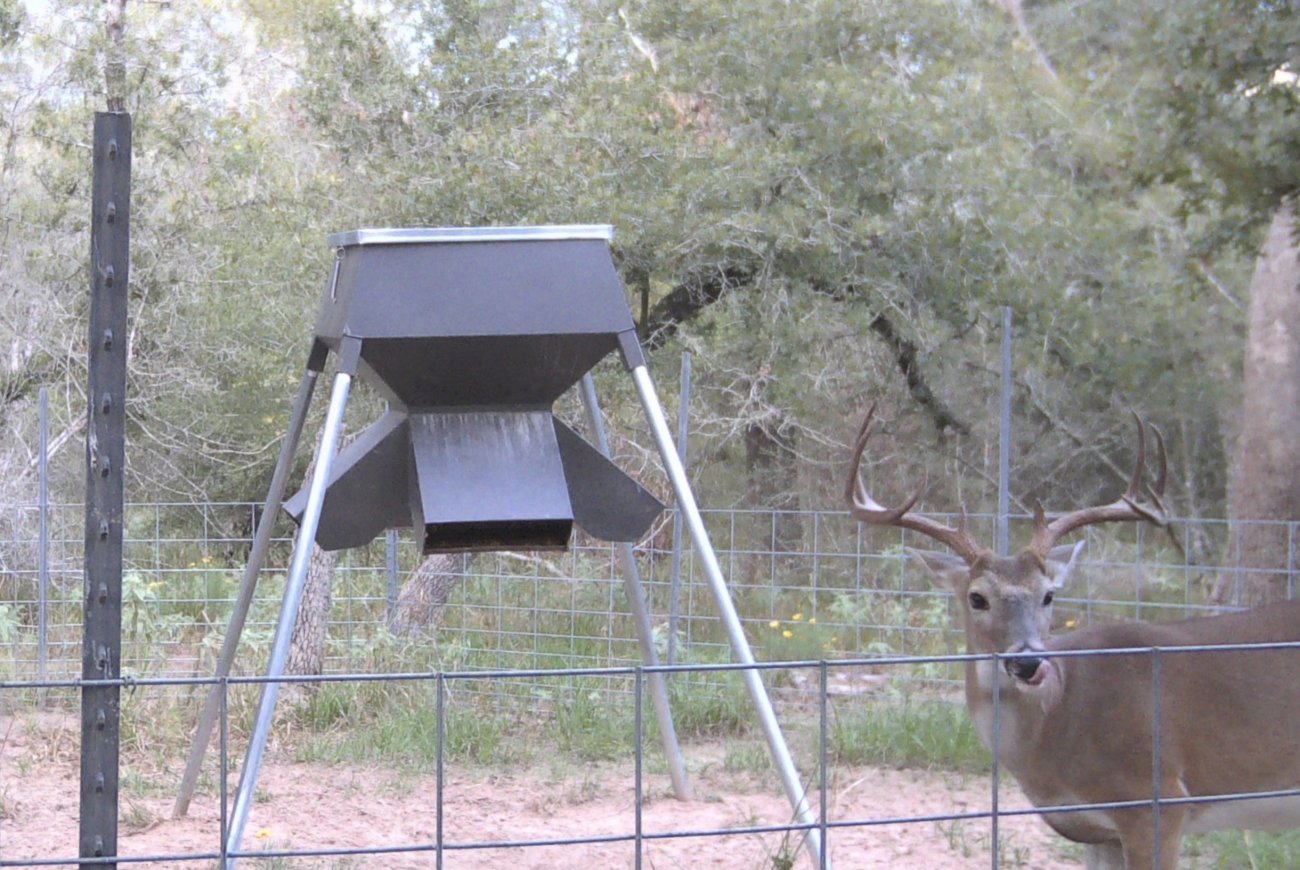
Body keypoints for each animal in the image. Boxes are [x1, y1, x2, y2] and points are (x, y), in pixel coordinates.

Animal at [844, 403, 1300, 869]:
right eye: (977, 597)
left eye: (1049, 594)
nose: (1029, 662)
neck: (1059, 722)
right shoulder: (1098, 831)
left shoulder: (1158, 799)